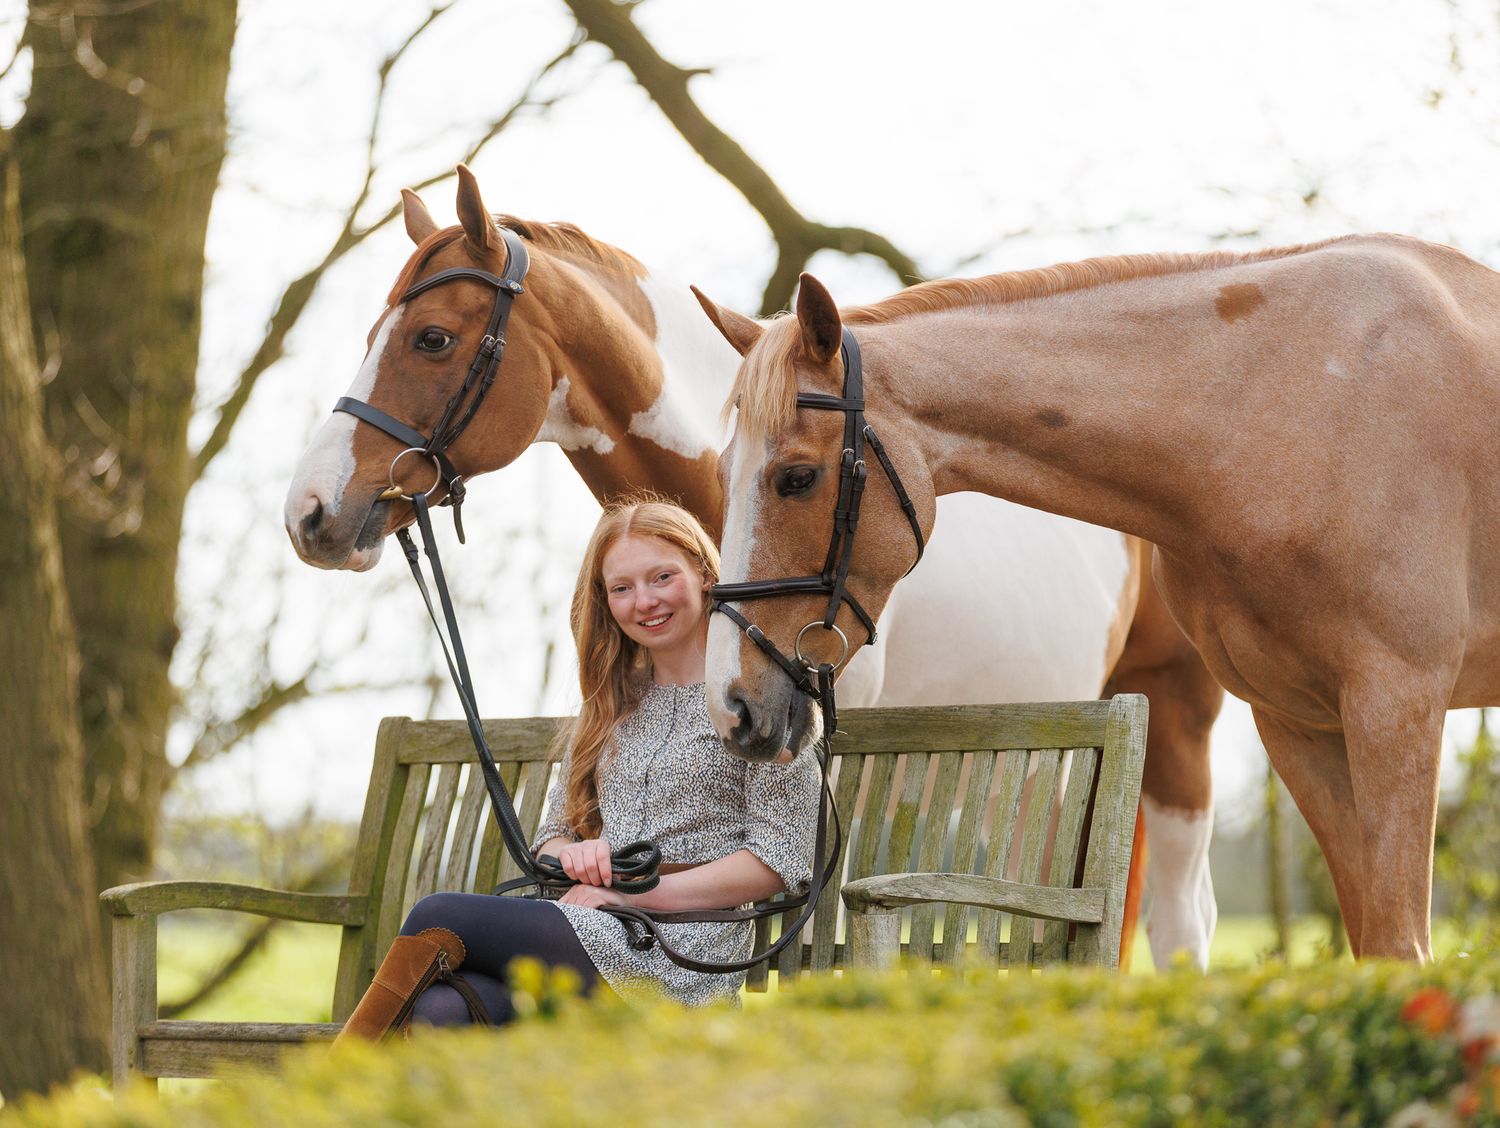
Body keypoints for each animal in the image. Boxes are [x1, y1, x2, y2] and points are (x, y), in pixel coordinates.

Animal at [696, 234, 1500, 962]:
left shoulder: (1395, 706)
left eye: (797, 477)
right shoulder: (1300, 725)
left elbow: (1401, 948)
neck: (1285, 411)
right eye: (722, 474)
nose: (732, 706)